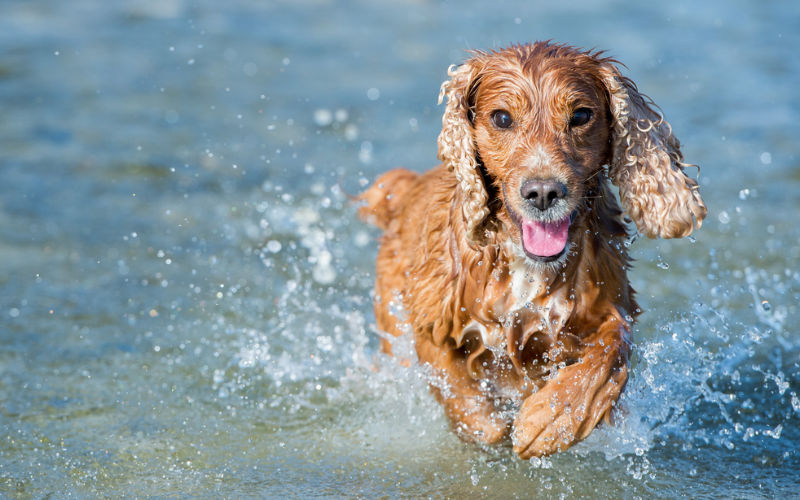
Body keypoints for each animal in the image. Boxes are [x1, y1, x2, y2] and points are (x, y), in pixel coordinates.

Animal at [360, 42, 704, 458]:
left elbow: (613, 348)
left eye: (581, 115)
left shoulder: (610, 304)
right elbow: (452, 380)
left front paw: (552, 418)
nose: (543, 192)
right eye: (502, 118)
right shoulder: (432, 315)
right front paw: (487, 424)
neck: (526, 266)